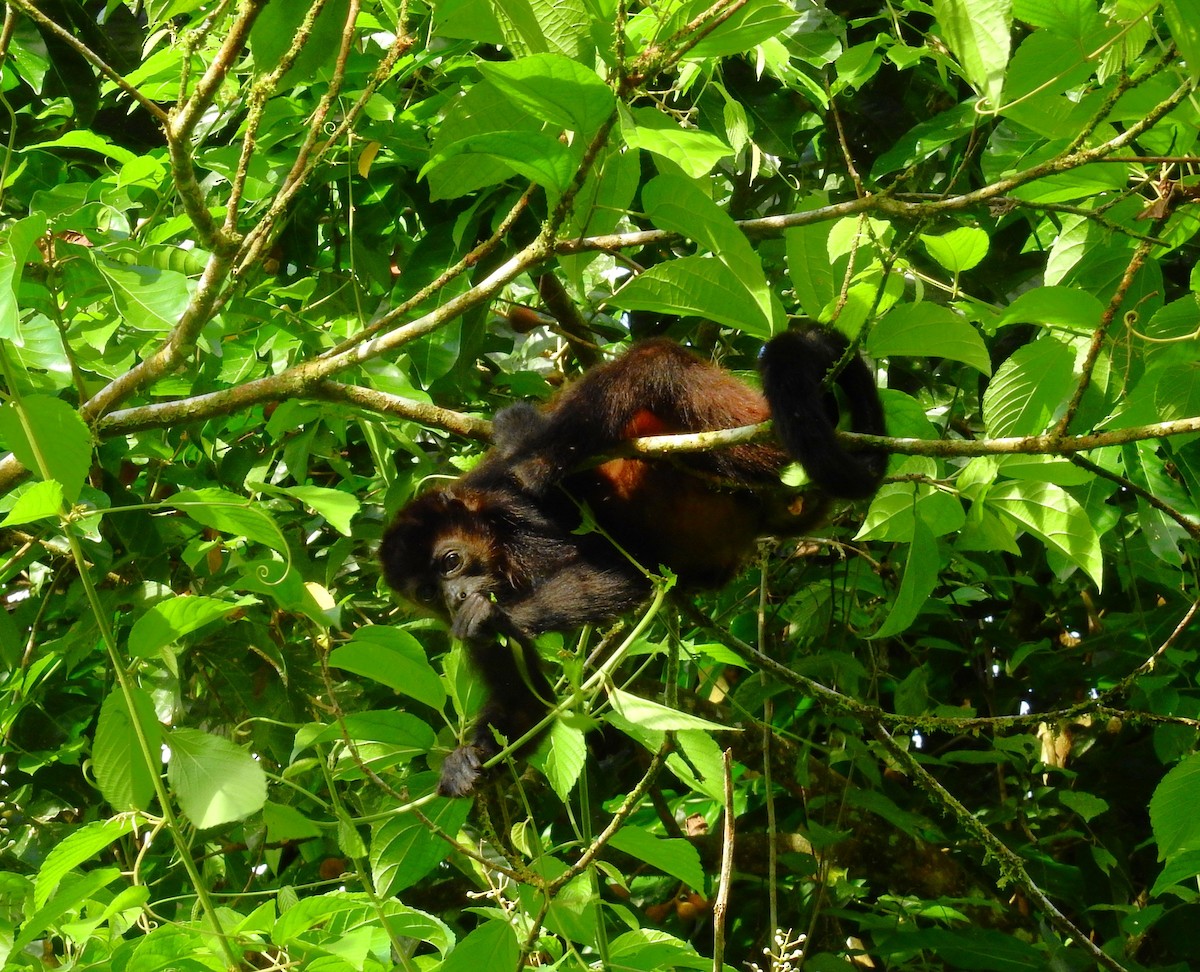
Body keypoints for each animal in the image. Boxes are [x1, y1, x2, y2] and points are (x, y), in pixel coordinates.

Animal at [380, 326, 887, 796]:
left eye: (450, 561)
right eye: (427, 593)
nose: (455, 596)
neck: (495, 541)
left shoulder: (512, 510)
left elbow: (618, 573)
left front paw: (493, 615)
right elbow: (525, 706)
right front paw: (465, 761)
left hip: (732, 440)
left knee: (653, 363)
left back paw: (531, 448)